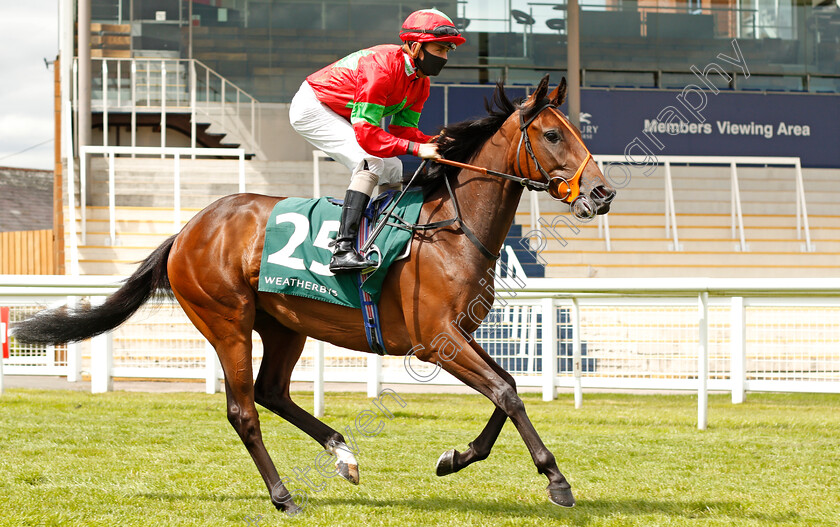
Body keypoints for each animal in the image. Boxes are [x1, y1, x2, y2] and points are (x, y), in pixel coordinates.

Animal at [11, 76, 616, 516]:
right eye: (554, 135)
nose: (603, 192)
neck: (450, 227)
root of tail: (187, 230)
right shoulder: (436, 340)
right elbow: (507, 394)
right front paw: (557, 481)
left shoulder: (458, 333)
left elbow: (507, 386)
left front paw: (456, 457)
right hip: (226, 321)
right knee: (243, 409)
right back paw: (284, 496)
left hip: (284, 326)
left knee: (272, 392)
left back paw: (343, 454)